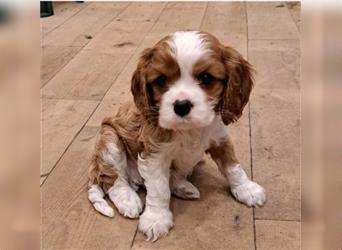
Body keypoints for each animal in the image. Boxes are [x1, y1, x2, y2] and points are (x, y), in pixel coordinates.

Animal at [87, 30, 266, 241]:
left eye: (206, 77)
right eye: (161, 80)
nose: (181, 106)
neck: (188, 129)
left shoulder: (220, 138)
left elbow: (233, 166)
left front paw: (247, 189)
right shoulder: (154, 153)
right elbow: (159, 189)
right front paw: (156, 219)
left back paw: (184, 187)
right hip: (109, 140)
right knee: (113, 181)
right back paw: (128, 200)